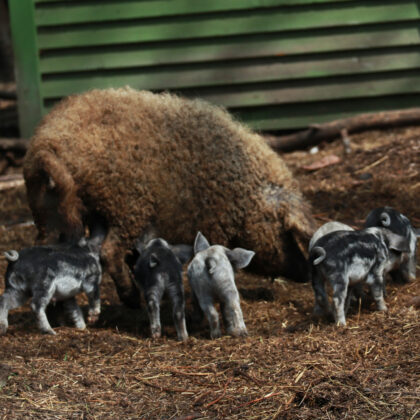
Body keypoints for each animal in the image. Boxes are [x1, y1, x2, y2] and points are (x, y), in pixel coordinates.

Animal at [23, 87, 316, 306]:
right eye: (283, 227)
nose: (305, 270)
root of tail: (46, 144)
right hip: (128, 204)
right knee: (108, 250)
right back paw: (132, 300)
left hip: (54, 212)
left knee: (54, 250)